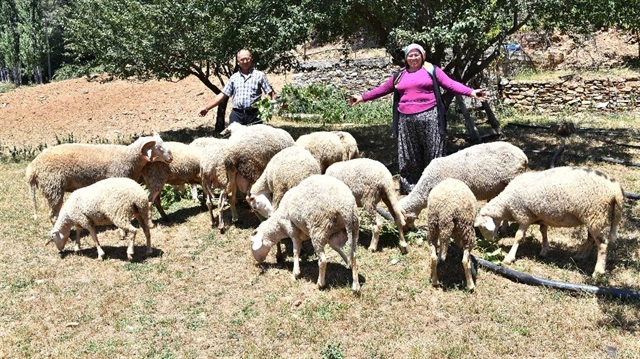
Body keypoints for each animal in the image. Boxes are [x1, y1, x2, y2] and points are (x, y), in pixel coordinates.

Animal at [26, 132, 172, 222]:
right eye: (159, 148)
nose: (171, 158)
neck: (128, 157)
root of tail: (32, 168)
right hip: (53, 187)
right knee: (52, 215)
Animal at [476, 167, 624, 278]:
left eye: (482, 228)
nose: (489, 242)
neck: (506, 205)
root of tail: (615, 188)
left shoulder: (524, 215)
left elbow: (518, 236)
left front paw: (509, 258)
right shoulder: (541, 216)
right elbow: (543, 231)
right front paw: (545, 250)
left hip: (598, 214)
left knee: (602, 244)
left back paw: (598, 271)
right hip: (594, 217)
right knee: (591, 239)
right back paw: (580, 256)